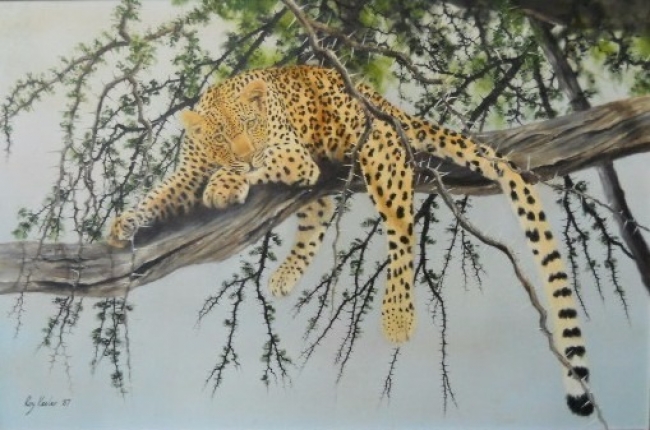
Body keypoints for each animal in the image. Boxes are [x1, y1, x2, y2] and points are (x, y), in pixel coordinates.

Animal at [108, 65, 592, 416]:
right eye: (223, 134)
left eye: (252, 125)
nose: (243, 151)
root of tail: (378, 99)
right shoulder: (190, 172)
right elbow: (159, 194)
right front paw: (123, 224)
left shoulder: (290, 154)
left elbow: (256, 165)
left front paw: (228, 182)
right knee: (315, 221)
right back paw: (284, 276)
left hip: (380, 155)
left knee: (401, 230)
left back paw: (397, 314)